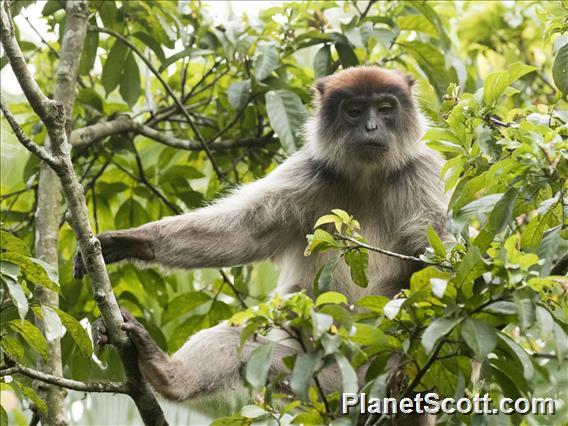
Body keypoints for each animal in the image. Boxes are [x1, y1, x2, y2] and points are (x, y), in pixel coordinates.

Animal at [75, 65, 448, 406]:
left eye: (385, 108)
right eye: (354, 111)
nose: (371, 127)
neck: (367, 178)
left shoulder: (423, 171)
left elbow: (445, 257)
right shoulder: (311, 173)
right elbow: (245, 233)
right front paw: (130, 242)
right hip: (310, 371)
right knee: (236, 342)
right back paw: (166, 373)